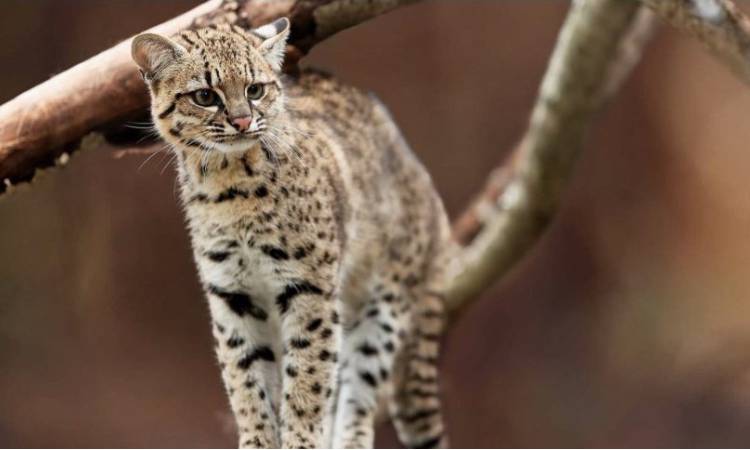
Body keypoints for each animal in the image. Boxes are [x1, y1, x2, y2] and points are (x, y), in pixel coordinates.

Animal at [132, 16, 456, 446]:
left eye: (254, 89)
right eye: (204, 96)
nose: (242, 121)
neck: (228, 185)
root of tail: (426, 184)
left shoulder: (310, 289)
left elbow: (307, 378)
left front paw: (300, 441)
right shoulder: (231, 294)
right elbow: (245, 380)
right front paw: (256, 440)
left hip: (382, 305)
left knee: (359, 396)